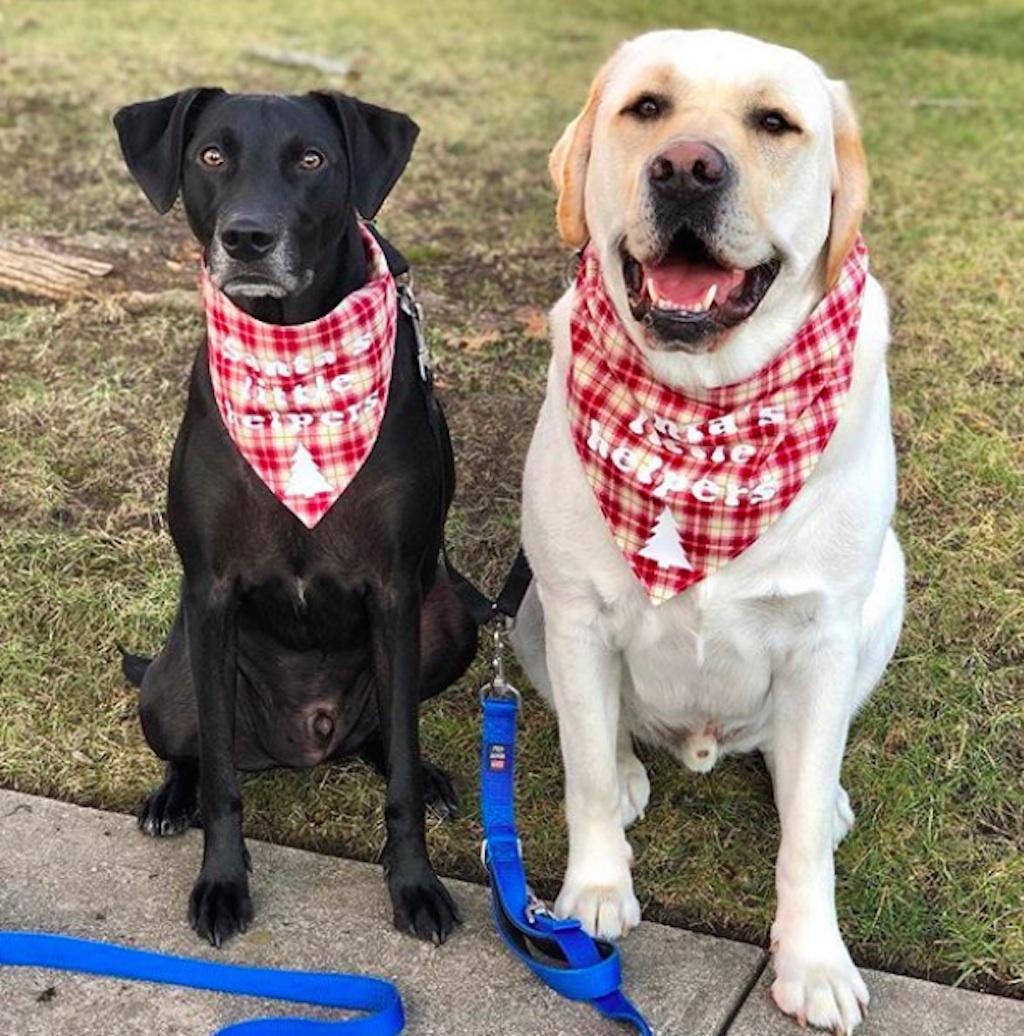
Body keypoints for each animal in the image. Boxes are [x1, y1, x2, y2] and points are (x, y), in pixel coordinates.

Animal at [114, 89, 478, 948]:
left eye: (312, 159)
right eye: (211, 154)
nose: (247, 238)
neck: (290, 351)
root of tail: (308, 741)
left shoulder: (395, 591)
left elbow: (401, 763)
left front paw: (414, 884)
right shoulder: (211, 592)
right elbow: (220, 778)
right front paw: (222, 883)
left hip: (452, 618)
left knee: (386, 734)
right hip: (170, 682)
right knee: (193, 750)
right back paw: (168, 799)